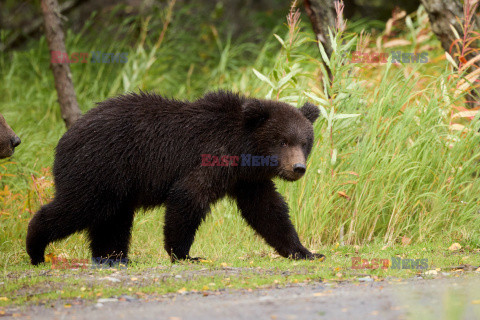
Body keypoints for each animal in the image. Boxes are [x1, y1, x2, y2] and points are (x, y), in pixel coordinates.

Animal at [27, 91, 326, 266]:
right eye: (282, 141)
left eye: (304, 142)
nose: (298, 167)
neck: (244, 150)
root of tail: (66, 137)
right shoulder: (211, 158)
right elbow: (189, 196)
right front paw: (185, 254)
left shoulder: (247, 180)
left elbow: (269, 212)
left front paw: (305, 251)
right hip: (100, 167)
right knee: (80, 206)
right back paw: (35, 248)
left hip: (117, 183)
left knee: (113, 219)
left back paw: (114, 257)